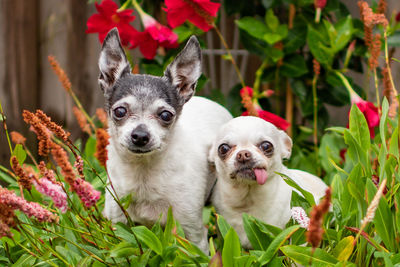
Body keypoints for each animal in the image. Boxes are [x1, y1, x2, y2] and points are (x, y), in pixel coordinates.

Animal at [98, 29, 233, 253]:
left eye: (165, 115)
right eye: (120, 111)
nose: (140, 135)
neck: (144, 174)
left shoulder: (193, 234)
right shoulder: (118, 225)